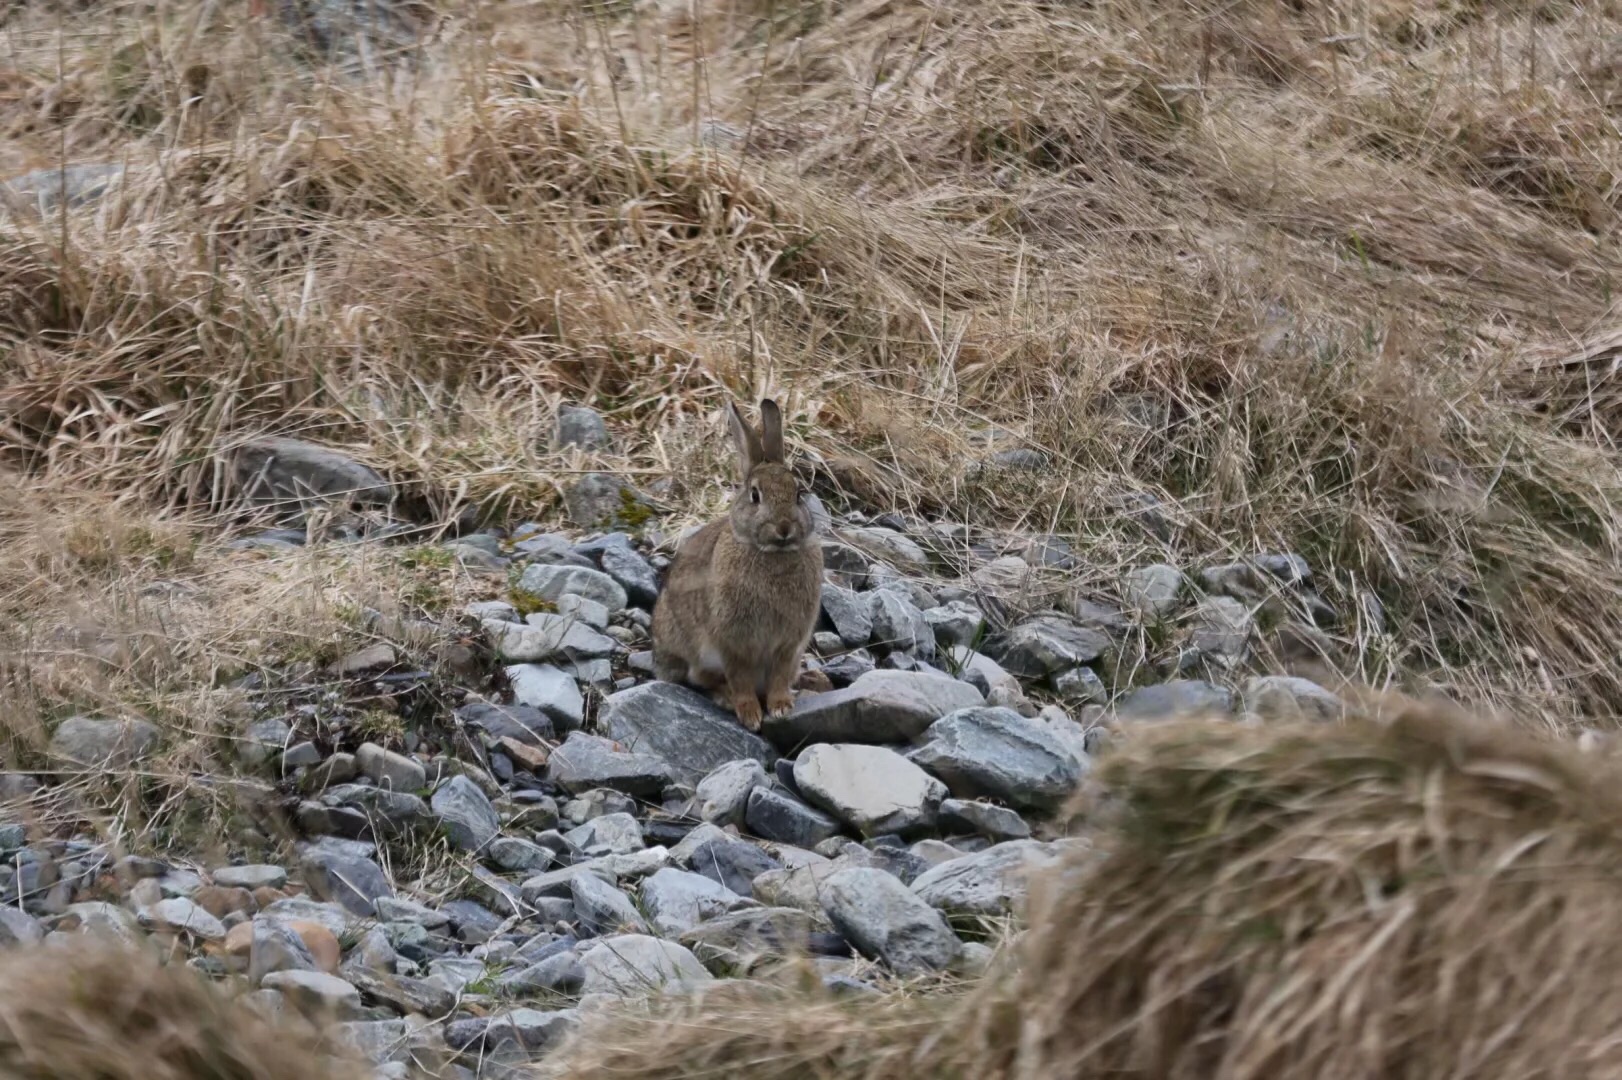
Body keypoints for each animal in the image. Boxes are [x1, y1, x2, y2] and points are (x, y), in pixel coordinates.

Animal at [648, 397, 823, 732]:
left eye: (798, 494)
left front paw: (781, 707)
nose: (784, 527)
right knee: (700, 677)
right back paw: (726, 698)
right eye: (755, 495)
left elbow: (779, 676)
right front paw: (750, 715)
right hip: (693, 648)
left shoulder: (788, 644)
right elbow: (740, 679)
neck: (773, 553)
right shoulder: (732, 642)